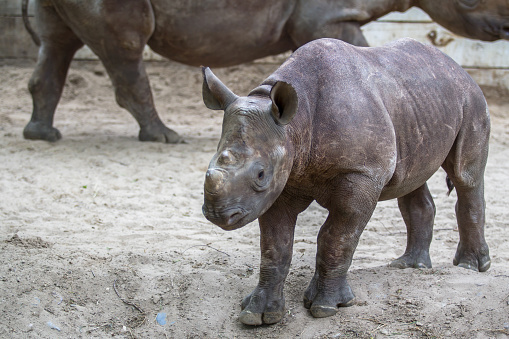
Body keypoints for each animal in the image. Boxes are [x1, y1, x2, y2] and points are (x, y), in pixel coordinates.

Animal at [22, 0, 508, 142]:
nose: (506, 26)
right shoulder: (327, 14)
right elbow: (362, 52)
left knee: (57, 43)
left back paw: (43, 135)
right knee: (124, 46)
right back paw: (164, 137)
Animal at [200, 37, 490, 326]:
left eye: (260, 175)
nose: (217, 214)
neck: (297, 123)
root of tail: (457, 67)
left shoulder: (363, 172)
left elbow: (337, 236)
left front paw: (325, 306)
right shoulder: (284, 178)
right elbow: (274, 244)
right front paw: (257, 313)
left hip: (471, 100)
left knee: (466, 178)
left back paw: (471, 267)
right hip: (418, 105)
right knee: (412, 180)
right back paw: (410, 266)